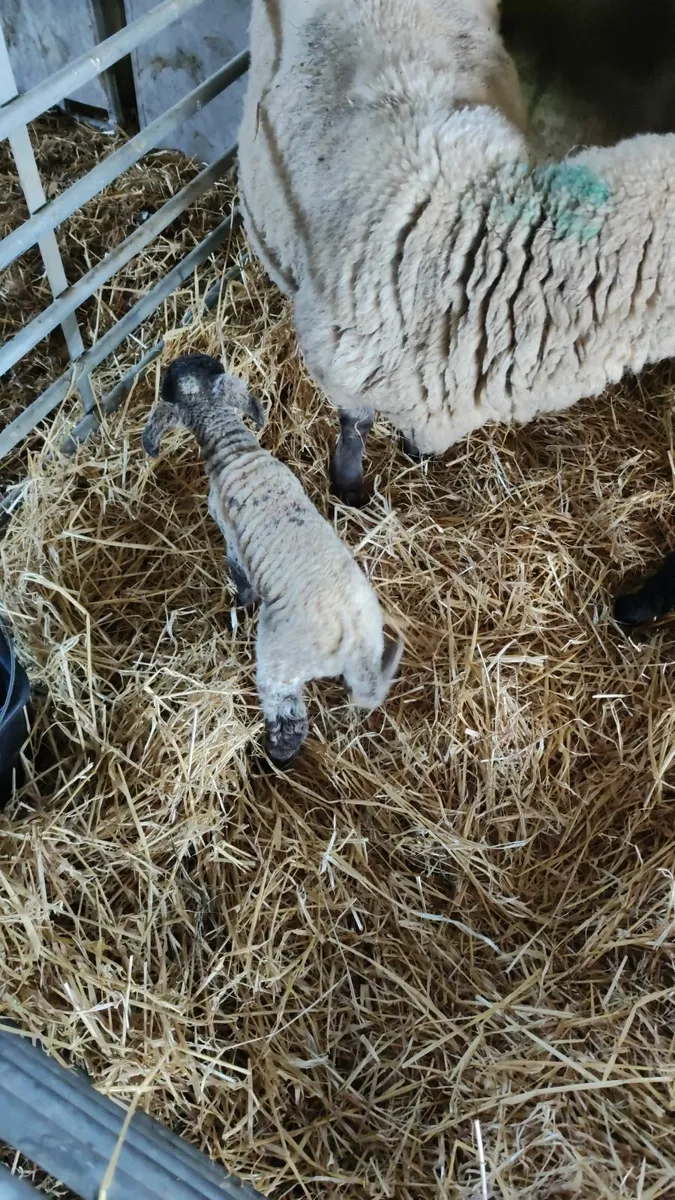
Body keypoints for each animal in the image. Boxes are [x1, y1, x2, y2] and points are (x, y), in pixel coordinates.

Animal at [142, 354, 403, 763]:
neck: (233, 448)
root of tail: (351, 635)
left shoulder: (232, 541)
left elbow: (241, 580)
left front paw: (240, 606)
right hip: (371, 641)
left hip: (281, 661)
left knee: (287, 713)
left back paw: (274, 756)